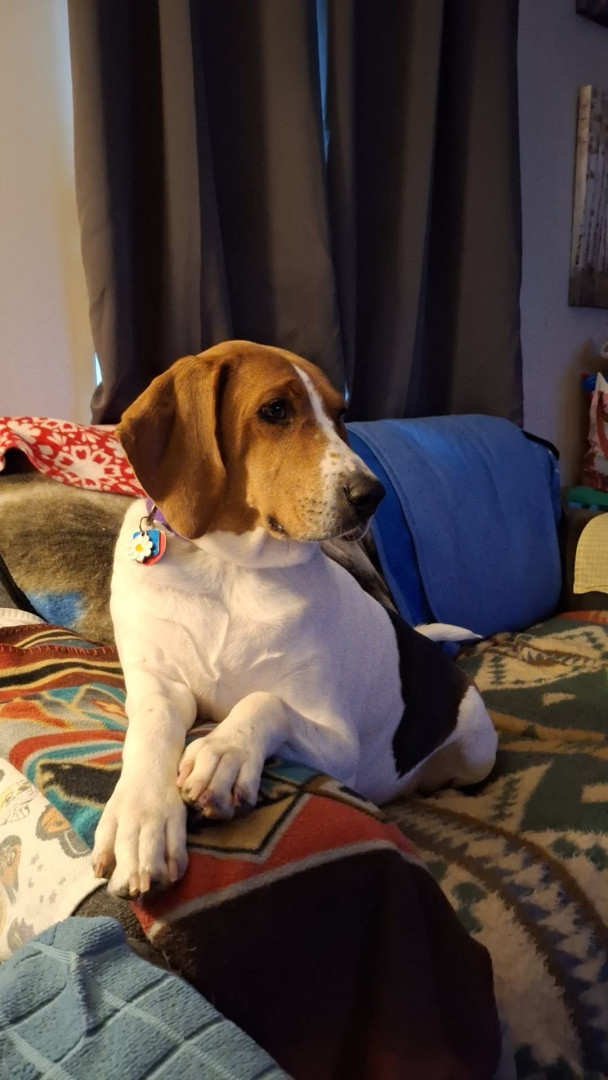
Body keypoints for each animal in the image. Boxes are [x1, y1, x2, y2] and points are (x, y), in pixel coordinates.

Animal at [93, 341, 497, 896]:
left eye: (341, 413)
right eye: (275, 410)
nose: (372, 496)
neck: (228, 567)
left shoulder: (339, 744)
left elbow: (266, 702)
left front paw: (225, 754)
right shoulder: (159, 686)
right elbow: (153, 728)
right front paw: (142, 821)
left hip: (478, 749)